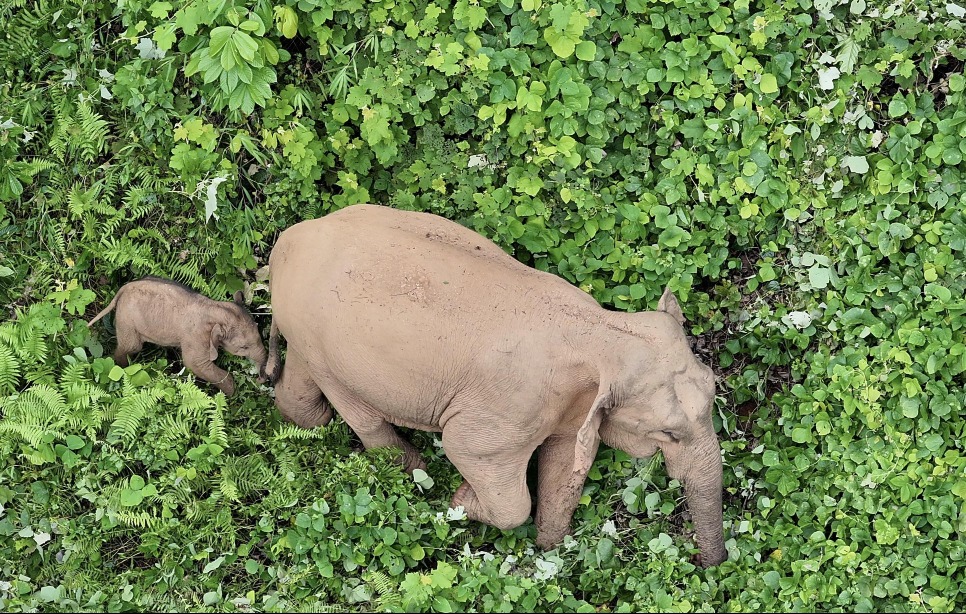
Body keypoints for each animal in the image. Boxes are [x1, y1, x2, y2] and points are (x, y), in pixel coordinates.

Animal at [87, 276, 268, 396]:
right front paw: (228, 397)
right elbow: (195, 364)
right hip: (127, 320)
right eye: (243, 347)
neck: (214, 307)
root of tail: (122, 289)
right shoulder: (195, 336)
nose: (260, 379)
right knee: (131, 347)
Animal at [265, 204, 726, 566]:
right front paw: (460, 501)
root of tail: (286, 243)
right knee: (362, 415)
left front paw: (548, 549)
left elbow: (566, 465)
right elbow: (470, 454)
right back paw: (413, 472)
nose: (713, 563)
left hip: (307, 334)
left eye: (713, 387)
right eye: (668, 433)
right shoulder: (507, 414)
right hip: (325, 349)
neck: (603, 329)